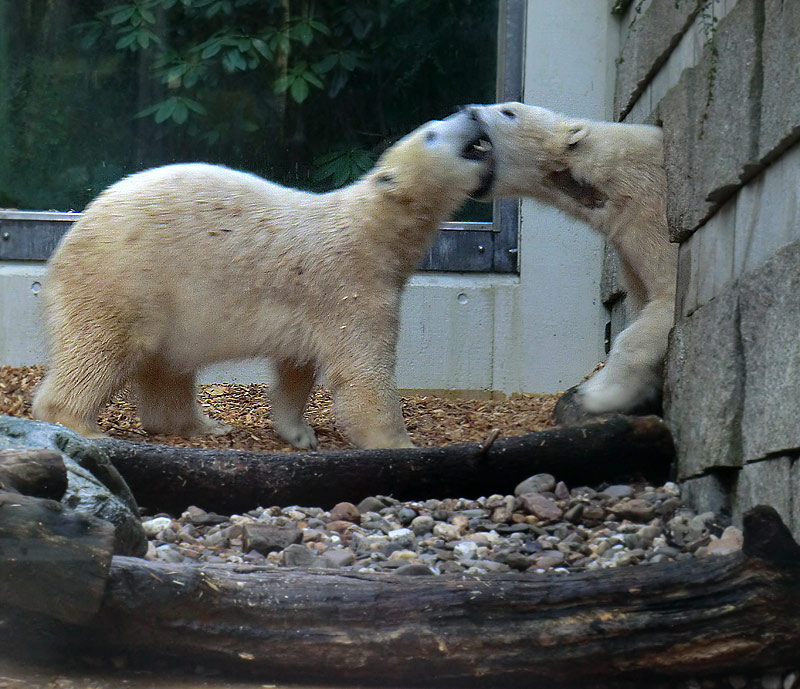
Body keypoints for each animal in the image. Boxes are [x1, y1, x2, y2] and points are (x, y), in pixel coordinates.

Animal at [32, 115, 494, 448]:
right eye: (432, 132)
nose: (474, 114)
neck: (370, 228)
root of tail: (66, 245)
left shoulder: (315, 304)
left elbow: (296, 369)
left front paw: (299, 433)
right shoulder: (351, 285)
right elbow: (363, 374)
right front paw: (399, 445)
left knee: (167, 366)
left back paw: (204, 426)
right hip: (124, 280)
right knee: (102, 349)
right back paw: (81, 424)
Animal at [466, 101, 680, 420]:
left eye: (509, 112)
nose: (470, 111)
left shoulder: (650, 211)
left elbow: (667, 295)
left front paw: (598, 396)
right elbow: (643, 298)